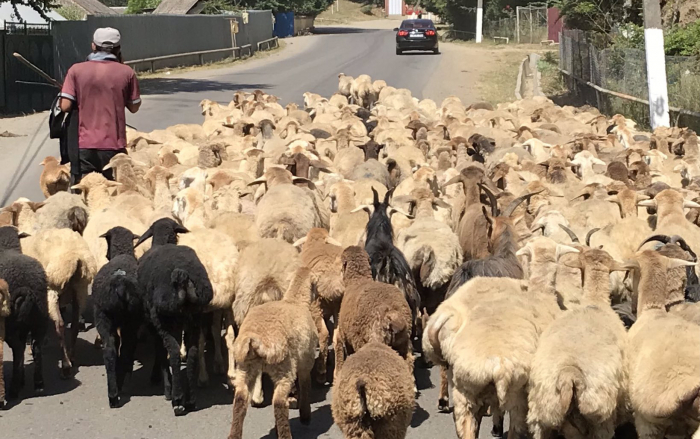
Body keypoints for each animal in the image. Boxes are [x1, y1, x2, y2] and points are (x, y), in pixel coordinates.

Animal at [0, 227, 48, 406]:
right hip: (39, 320)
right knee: (37, 347)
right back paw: (39, 384)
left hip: (11, 325)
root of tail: (28, 287)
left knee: (19, 349)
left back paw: (14, 389)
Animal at [92, 227, 143, 410]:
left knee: (111, 351)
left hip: (106, 318)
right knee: (123, 349)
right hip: (127, 320)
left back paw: (114, 393)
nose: (106, 254)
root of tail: (120, 284)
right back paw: (118, 387)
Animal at [135, 218, 213, 418]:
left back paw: (176, 399)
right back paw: (191, 400)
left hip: (164, 320)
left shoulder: (154, 323)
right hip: (194, 317)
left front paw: (163, 383)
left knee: (174, 353)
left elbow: (161, 353)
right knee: (192, 353)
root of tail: (183, 277)